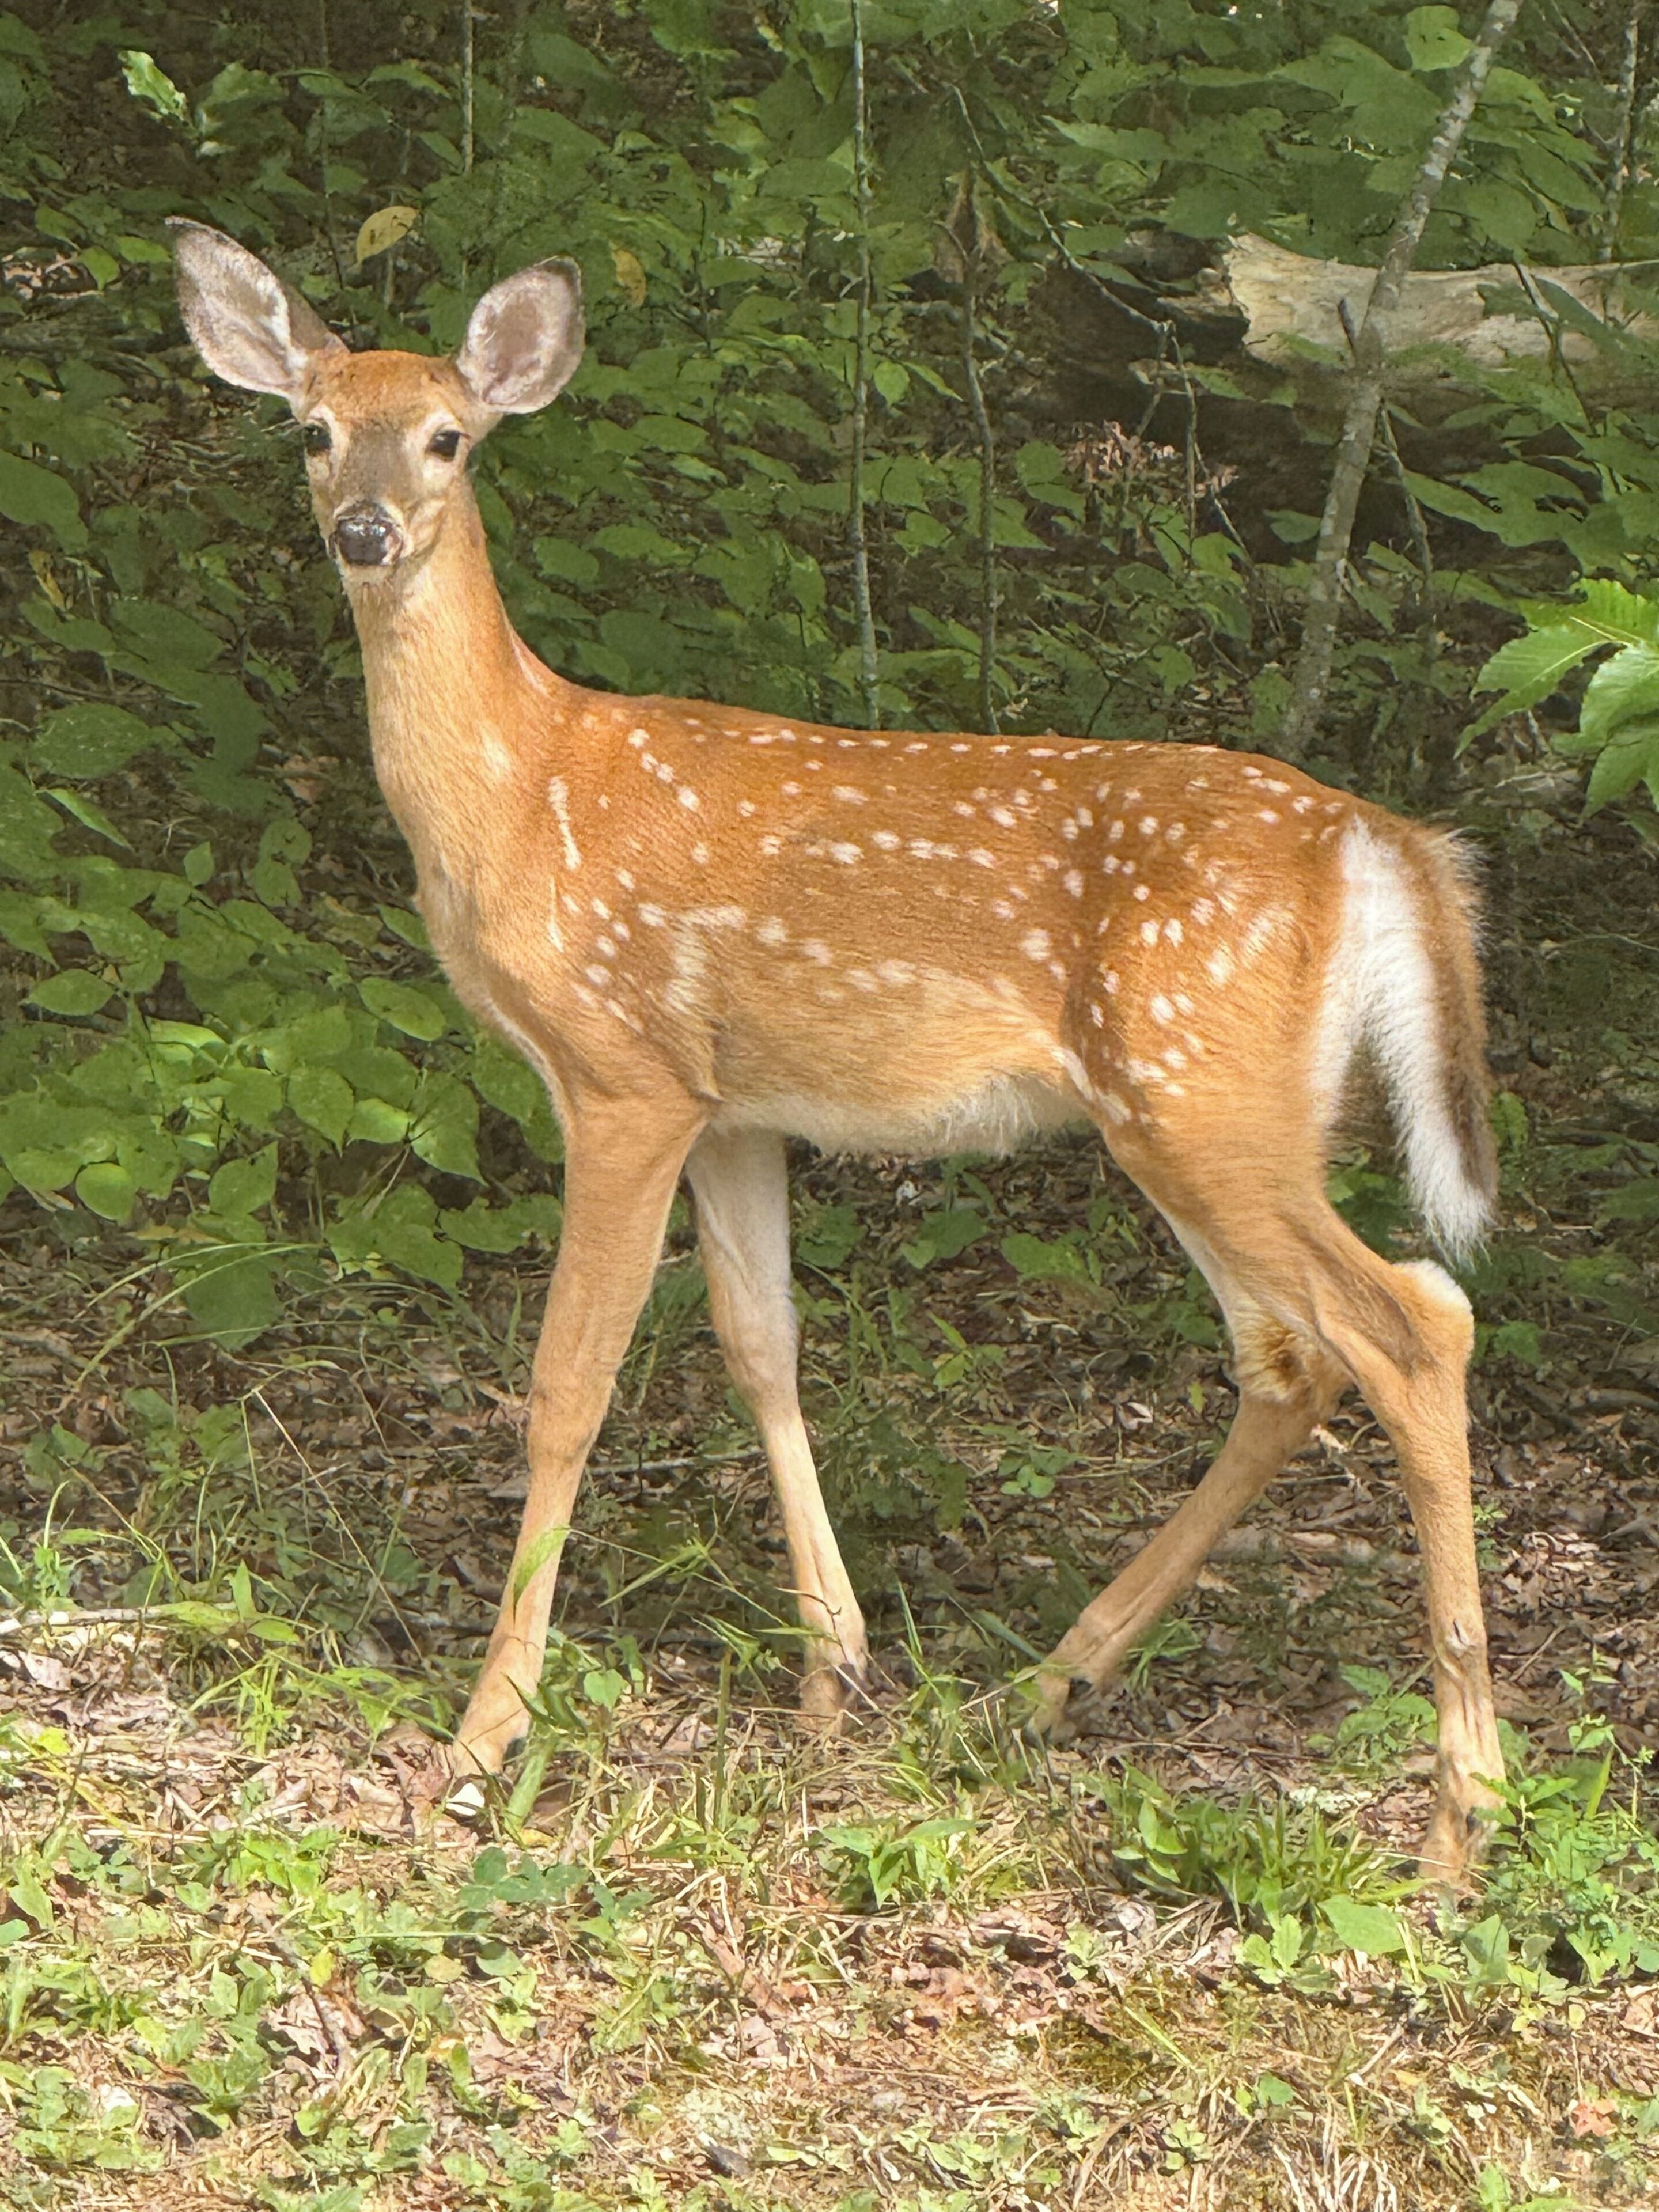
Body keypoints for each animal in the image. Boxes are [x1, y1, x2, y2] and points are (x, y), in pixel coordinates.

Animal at [170, 221, 1507, 1881]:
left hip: (1203, 1088)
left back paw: (1460, 1816)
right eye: (310, 428)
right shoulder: (736, 1103)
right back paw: (1048, 1682)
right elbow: (763, 1347)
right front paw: (832, 1673)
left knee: (1414, 1325)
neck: (519, 791)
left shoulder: (621, 1071)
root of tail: (1387, 845)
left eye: (447, 439)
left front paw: (485, 1739)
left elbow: (567, 1383)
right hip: (1212, 1109)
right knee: (1292, 1357)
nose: (363, 530)